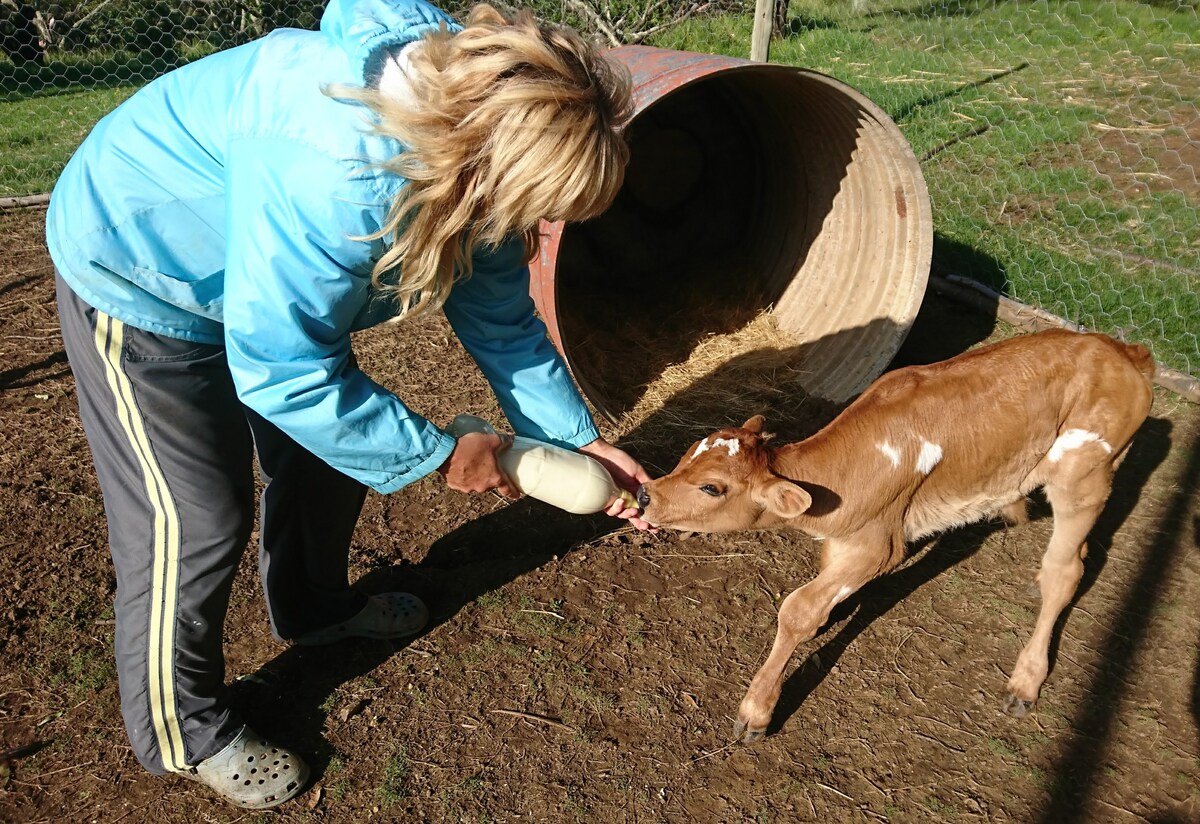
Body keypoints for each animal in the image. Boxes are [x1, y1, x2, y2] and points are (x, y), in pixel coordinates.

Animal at [638, 328, 1152, 743]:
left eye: (711, 488)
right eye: (687, 454)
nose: (646, 495)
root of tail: (1122, 350)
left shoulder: (880, 547)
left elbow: (798, 610)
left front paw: (756, 711)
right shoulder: (845, 541)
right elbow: (820, 598)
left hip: (1084, 477)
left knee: (1066, 569)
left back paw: (1025, 681)